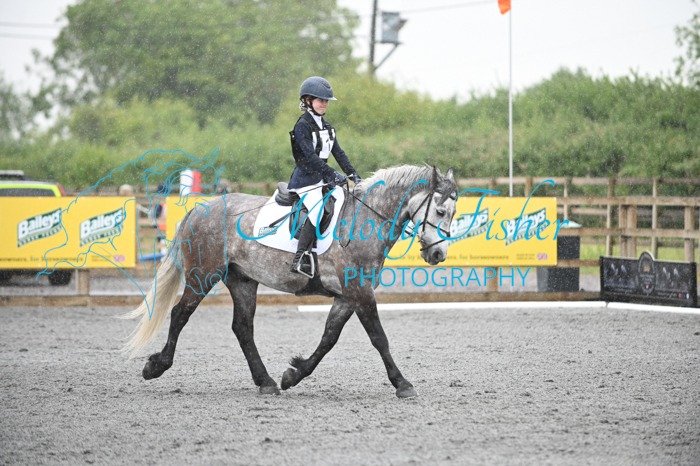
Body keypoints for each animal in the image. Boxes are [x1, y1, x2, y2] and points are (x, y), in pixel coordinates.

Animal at [122, 165, 459, 398]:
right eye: (440, 210)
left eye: (453, 213)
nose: (438, 254)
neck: (365, 220)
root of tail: (199, 209)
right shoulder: (359, 292)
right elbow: (379, 338)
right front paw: (403, 383)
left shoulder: (347, 296)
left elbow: (329, 338)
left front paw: (293, 374)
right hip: (203, 275)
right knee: (180, 314)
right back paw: (156, 366)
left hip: (242, 280)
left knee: (242, 328)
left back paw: (267, 382)